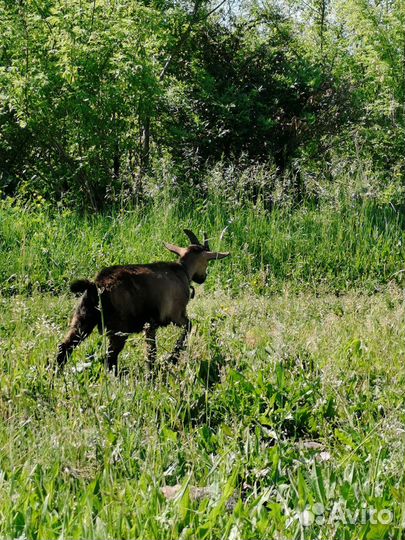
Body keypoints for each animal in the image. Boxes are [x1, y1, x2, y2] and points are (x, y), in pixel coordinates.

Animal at [55, 229, 229, 376]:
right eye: (207, 262)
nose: (202, 278)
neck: (182, 271)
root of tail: (95, 286)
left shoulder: (150, 325)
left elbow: (151, 351)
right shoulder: (175, 315)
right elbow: (187, 328)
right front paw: (170, 359)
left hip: (82, 320)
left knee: (64, 348)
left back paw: (56, 375)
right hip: (119, 329)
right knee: (110, 358)